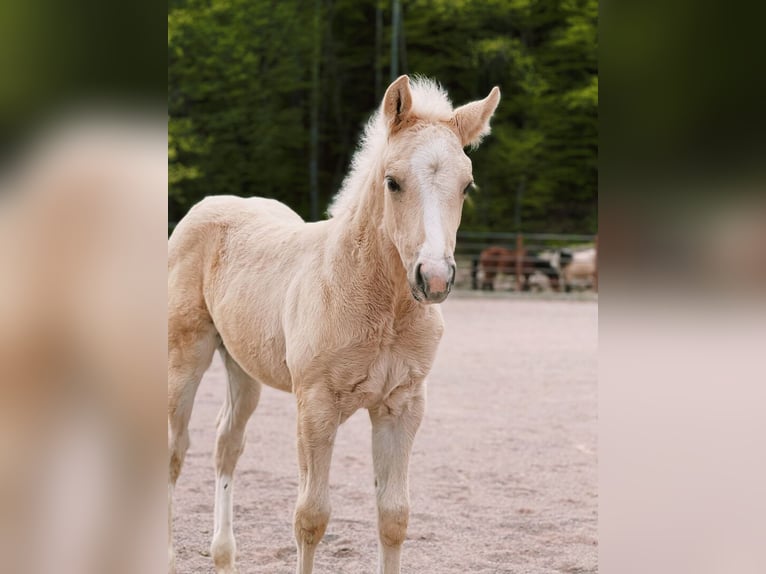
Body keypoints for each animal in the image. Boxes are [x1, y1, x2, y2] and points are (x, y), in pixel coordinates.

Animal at [167, 75, 500, 574]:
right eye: (392, 182)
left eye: (466, 185)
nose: (434, 278)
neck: (381, 308)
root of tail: (205, 206)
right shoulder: (316, 404)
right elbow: (311, 516)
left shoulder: (402, 405)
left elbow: (394, 516)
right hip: (185, 355)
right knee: (174, 450)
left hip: (242, 367)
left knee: (227, 444)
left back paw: (224, 556)